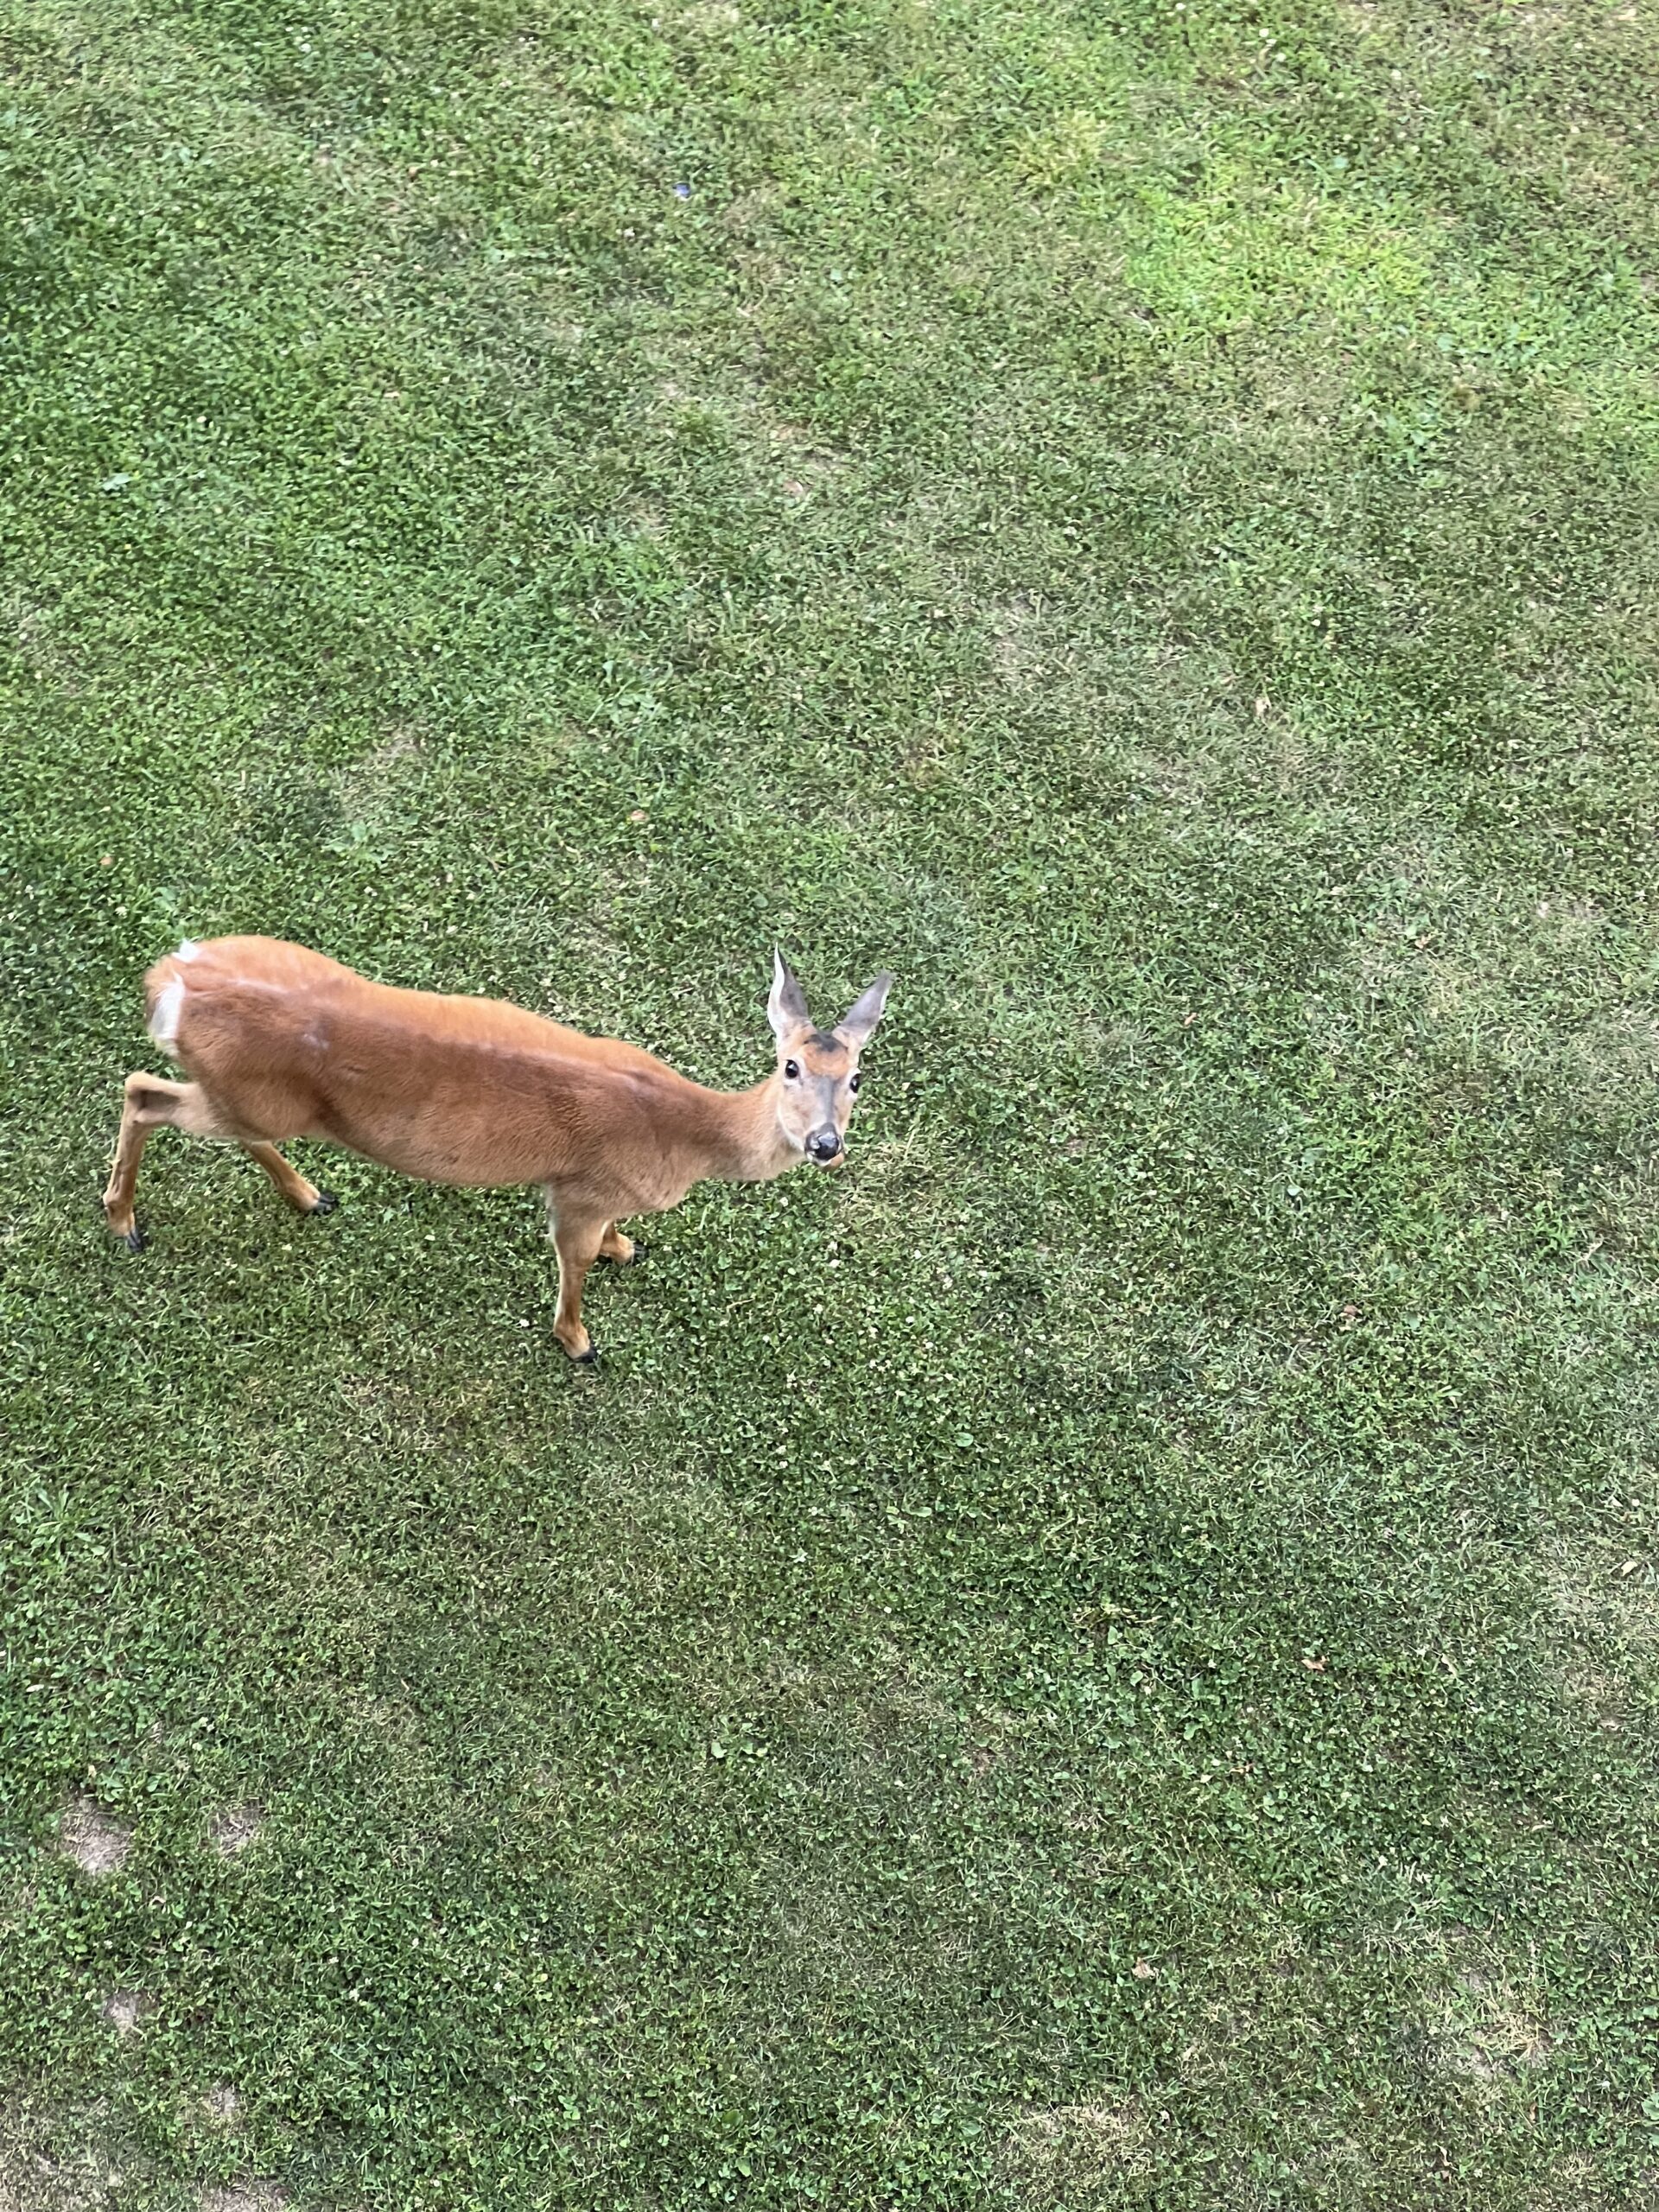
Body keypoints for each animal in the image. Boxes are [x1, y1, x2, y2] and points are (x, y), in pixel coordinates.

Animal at [104, 938, 898, 1353]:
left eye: (858, 1077)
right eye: (790, 1066)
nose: (825, 1143)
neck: (683, 1134)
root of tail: (172, 979)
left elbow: (606, 1246)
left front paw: (625, 1249)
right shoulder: (578, 1191)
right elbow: (575, 1262)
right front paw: (578, 1341)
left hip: (252, 1100)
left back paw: (308, 1195)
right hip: (250, 1096)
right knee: (142, 1090)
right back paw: (125, 1223)